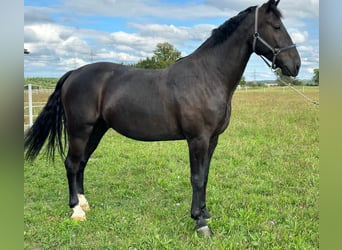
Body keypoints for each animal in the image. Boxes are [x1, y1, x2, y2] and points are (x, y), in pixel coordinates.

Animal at [25, 0, 300, 236]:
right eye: (276, 26)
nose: (295, 65)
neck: (207, 76)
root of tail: (73, 73)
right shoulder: (197, 139)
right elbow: (196, 178)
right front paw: (200, 223)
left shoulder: (212, 140)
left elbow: (205, 176)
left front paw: (205, 213)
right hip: (79, 130)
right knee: (71, 164)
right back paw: (76, 210)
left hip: (97, 130)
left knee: (81, 163)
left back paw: (84, 203)